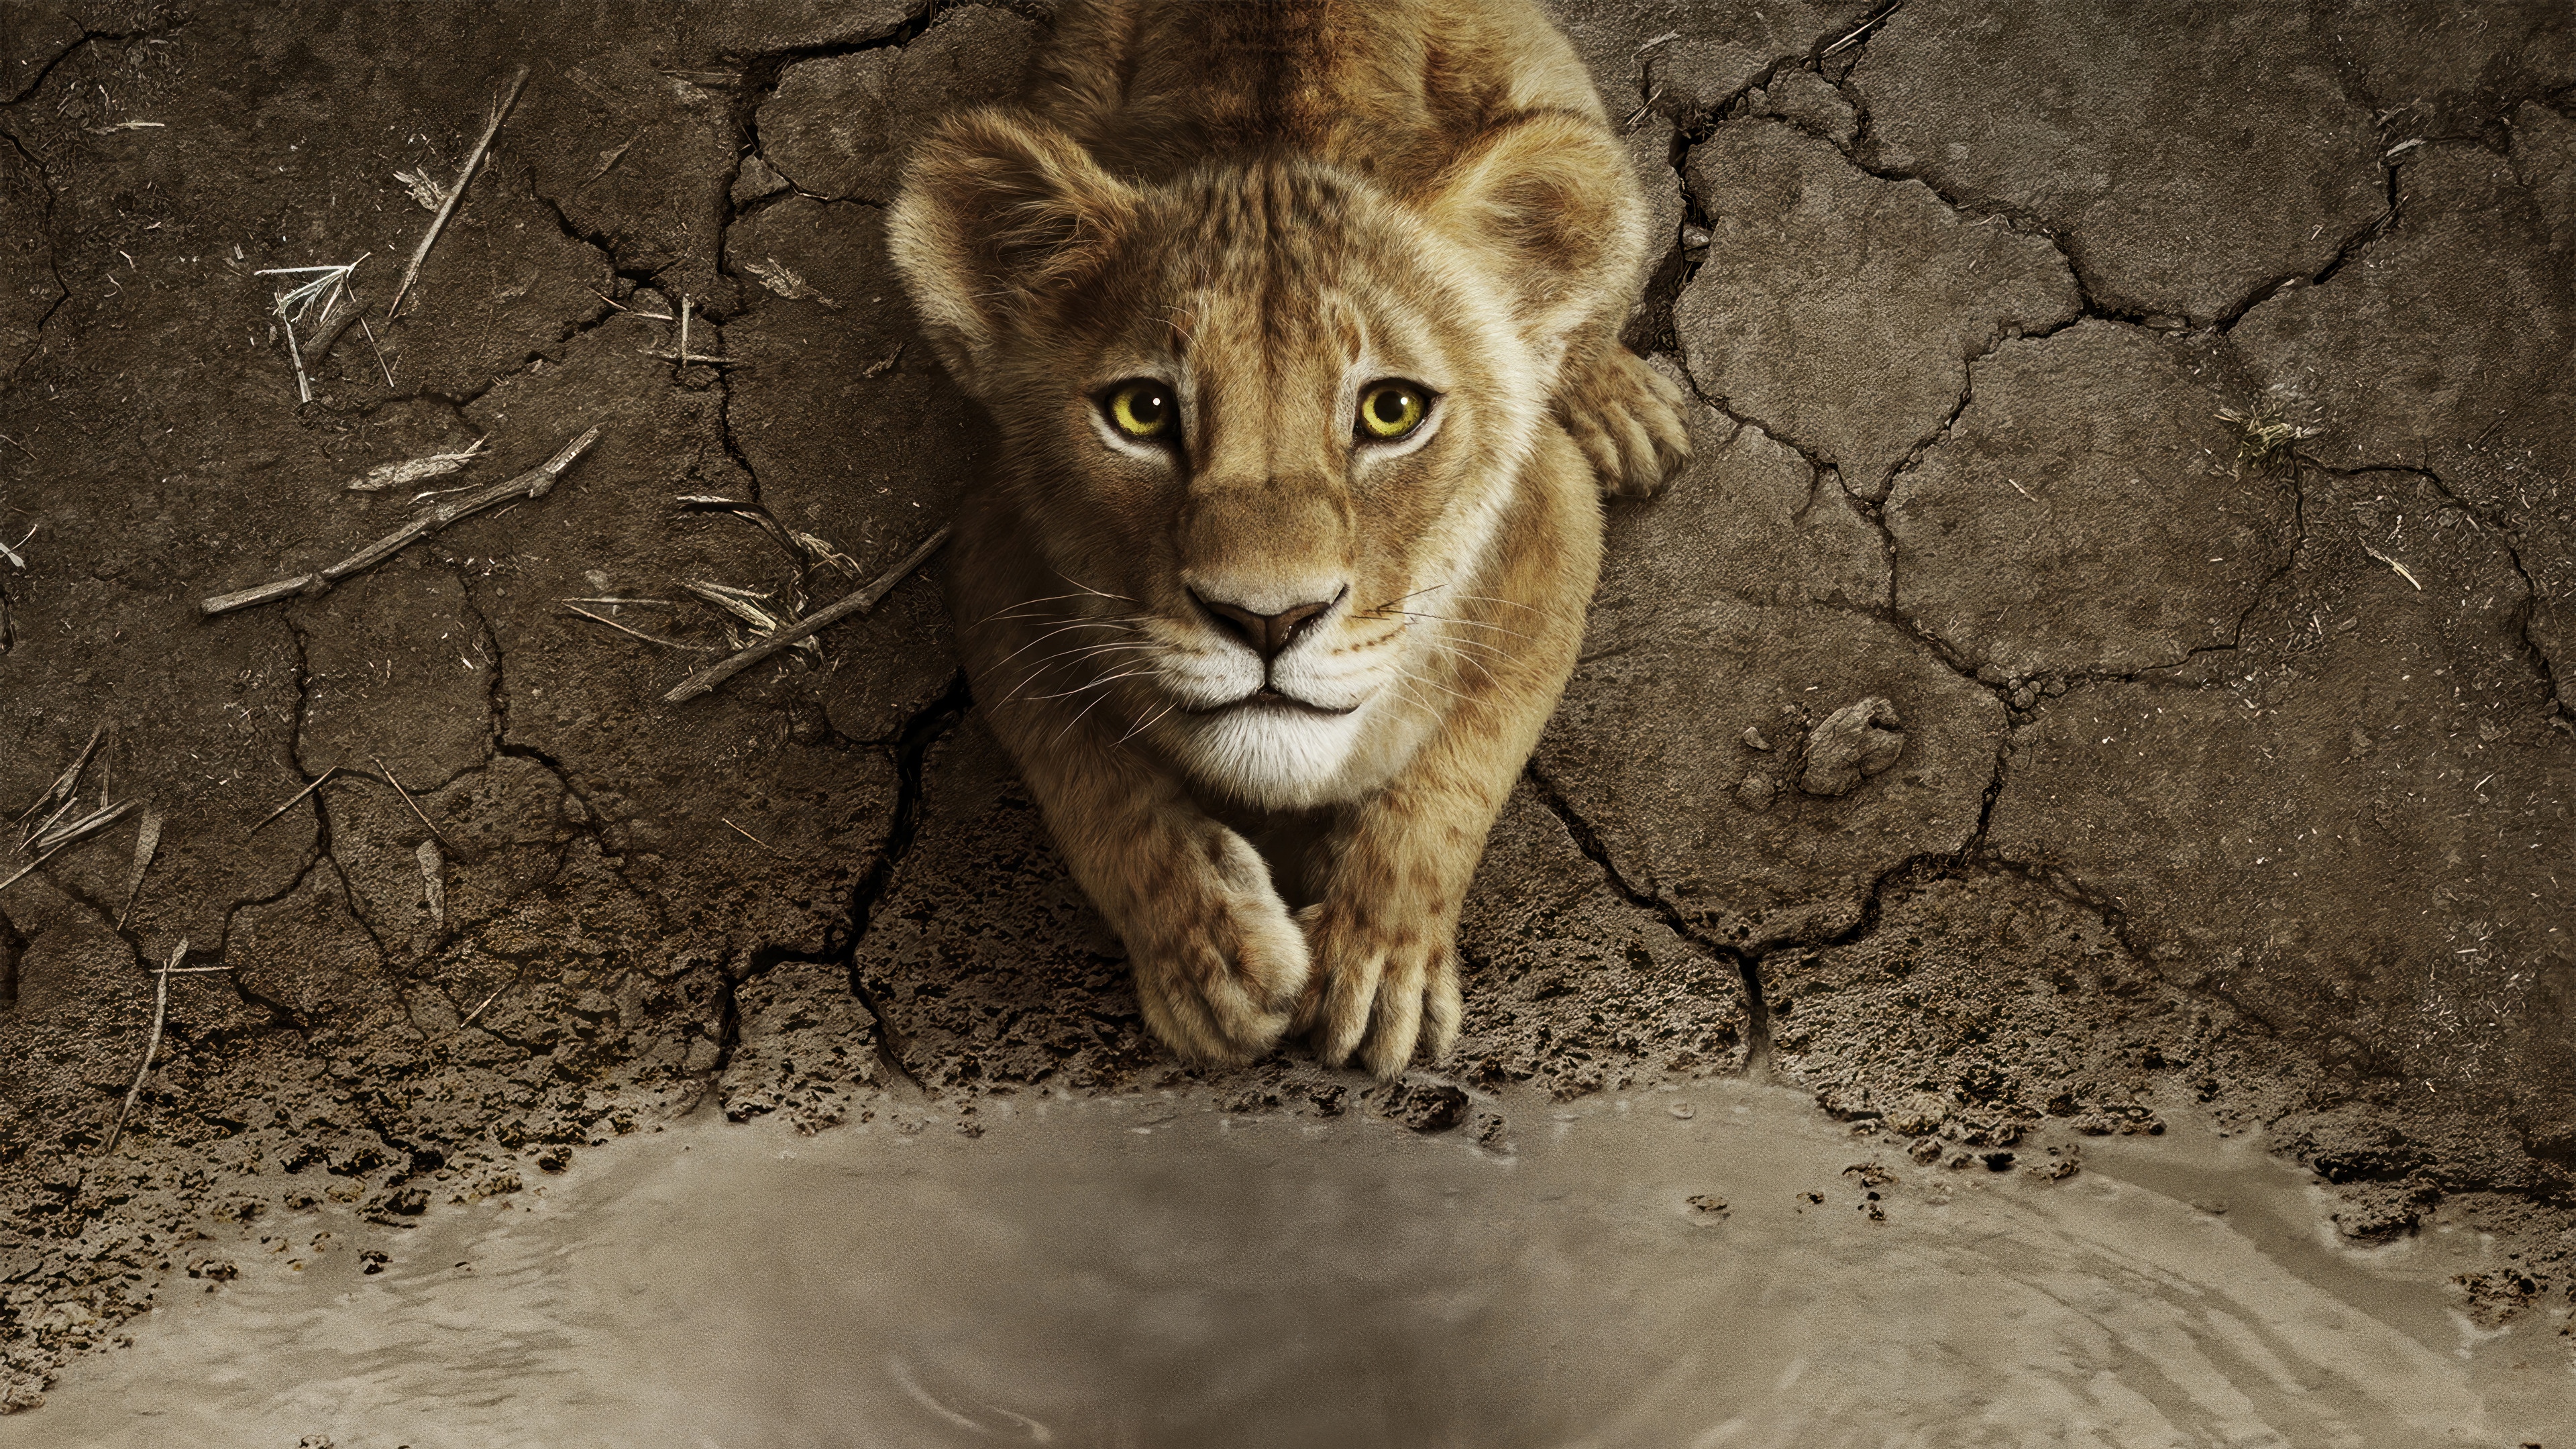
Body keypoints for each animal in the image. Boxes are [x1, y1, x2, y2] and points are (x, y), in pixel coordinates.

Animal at [889, 0, 1689, 1078]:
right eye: (1142, 411)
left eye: (1392, 411)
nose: (1269, 622)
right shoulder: (991, 557)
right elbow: (1089, 783)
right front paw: (1211, 962)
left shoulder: (1553, 519)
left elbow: (1461, 767)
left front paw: (1379, 961)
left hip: (1556, 98)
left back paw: (1619, 405)